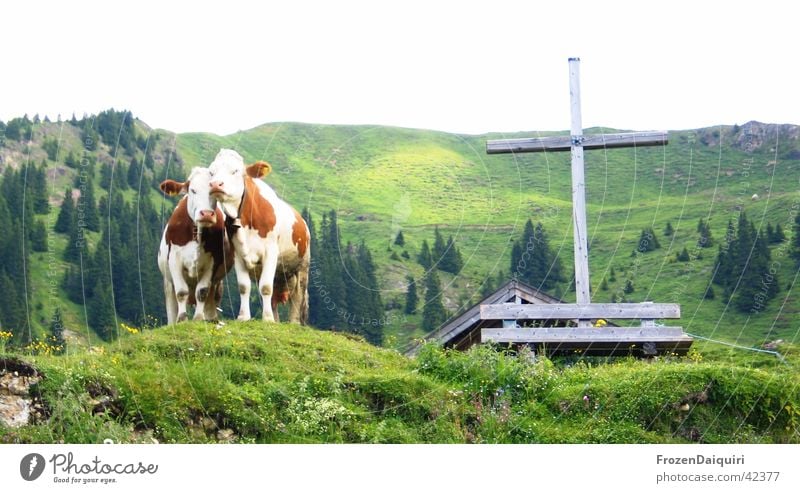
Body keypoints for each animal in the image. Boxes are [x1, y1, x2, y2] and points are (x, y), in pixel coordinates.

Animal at [155, 167, 231, 322]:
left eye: (214, 192)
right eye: (193, 190)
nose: (206, 214)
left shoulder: (213, 263)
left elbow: (202, 291)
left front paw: (198, 318)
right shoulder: (174, 260)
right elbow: (181, 292)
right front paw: (182, 319)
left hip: (218, 284)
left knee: (211, 298)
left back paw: (211, 319)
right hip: (167, 281)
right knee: (172, 301)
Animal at [206, 147, 310, 322]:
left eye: (235, 171)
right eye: (211, 172)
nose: (215, 184)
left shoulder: (271, 252)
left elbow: (265, 287)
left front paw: (267, 319)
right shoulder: (237, 254)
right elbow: (244, 287)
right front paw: (244, 317)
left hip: (302, 266)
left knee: (298, 295)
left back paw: (293, 322)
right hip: (280, 271)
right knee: (275, 297)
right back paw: (276, 320)